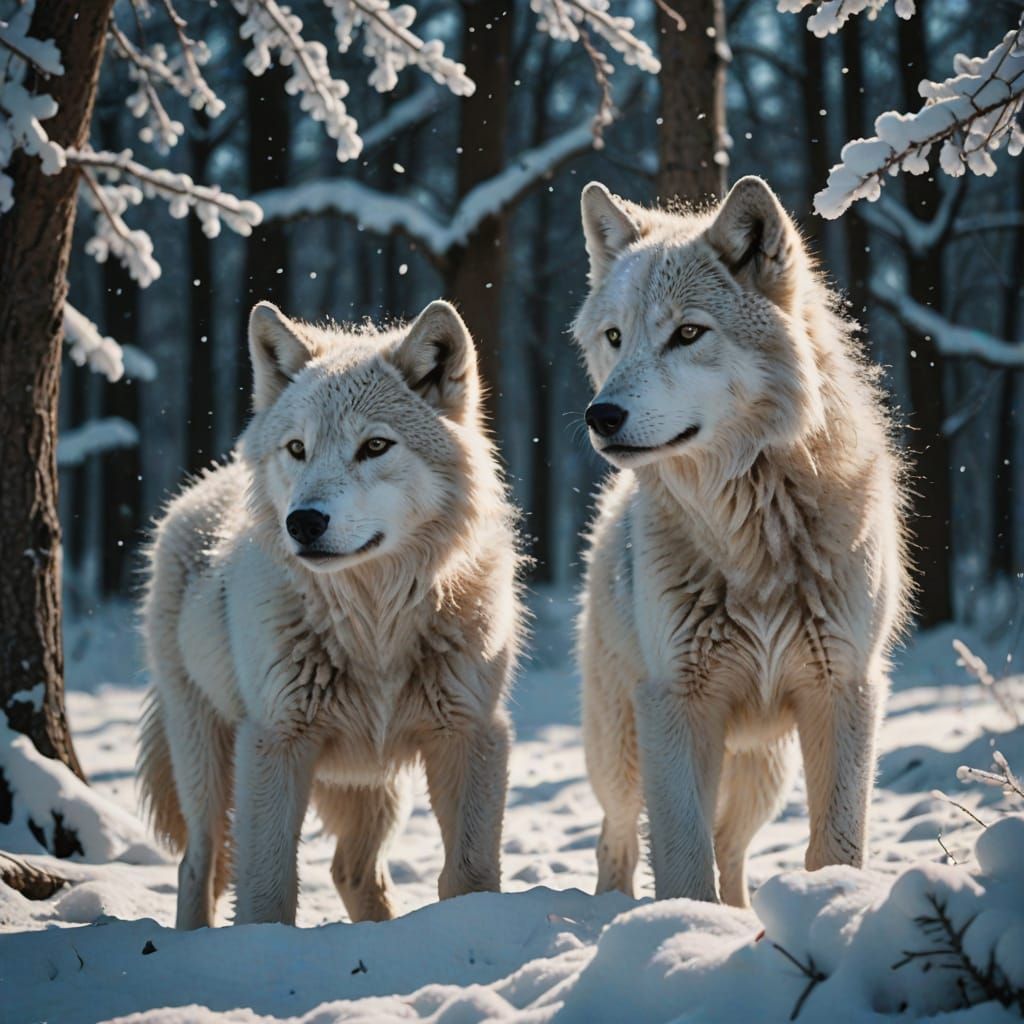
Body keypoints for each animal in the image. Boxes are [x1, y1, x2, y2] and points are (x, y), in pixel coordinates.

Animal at [138, 299, 524, 928]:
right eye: (298, 448)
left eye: (375, 446)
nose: (302, 522)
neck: (373, 624)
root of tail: (198, 490)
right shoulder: (275, 741)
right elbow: (267, 890)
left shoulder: (473, 733)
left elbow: (469, 875)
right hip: (206, 759)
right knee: (199, 863)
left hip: (373, 787)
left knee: (351, 870)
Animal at [574, 176, 909, 907]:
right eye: (615, 337)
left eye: (688, 333)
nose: (600, 415)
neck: (755, 533)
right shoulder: (676, 703)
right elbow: (681, 859)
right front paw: (682, 927)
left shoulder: (844, 691)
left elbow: (837, 844)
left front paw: (833, 904)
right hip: (624, 751)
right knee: (617, 835)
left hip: (763, 769)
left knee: (731, 846)